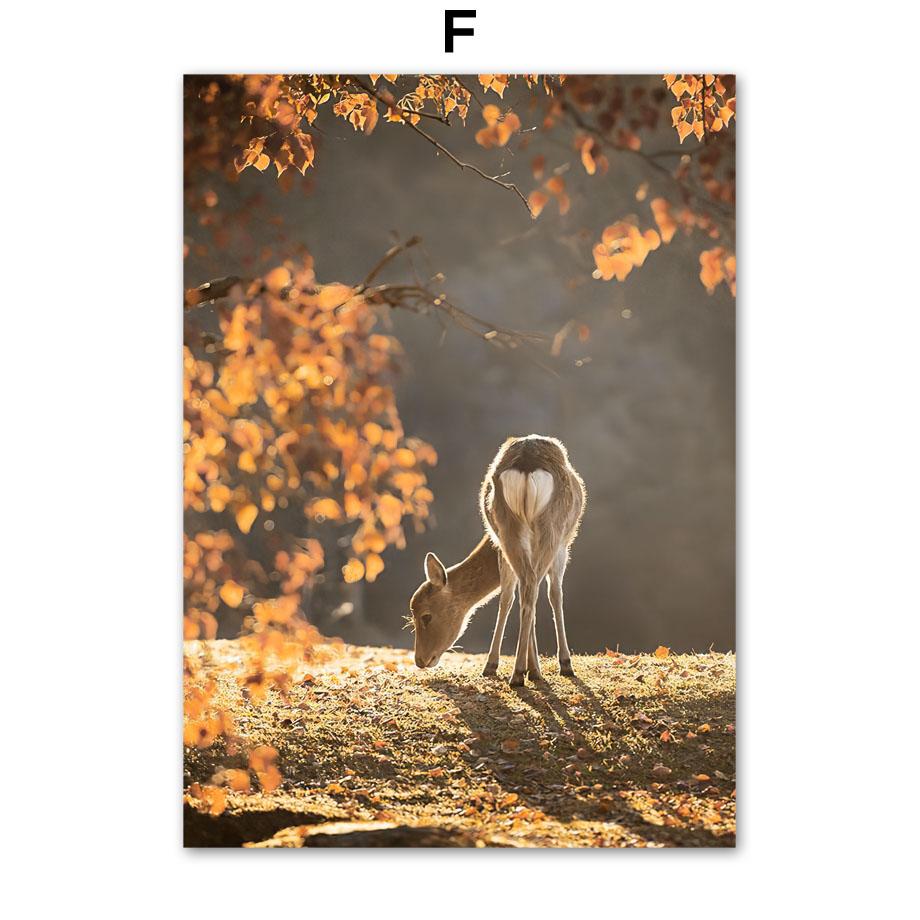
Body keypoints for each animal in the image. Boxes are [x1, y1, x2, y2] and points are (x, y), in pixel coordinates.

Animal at [409, 435, 586, 686]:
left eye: (426, 616)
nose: (420, 661)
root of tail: (526, 467)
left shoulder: (513, 545)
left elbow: (529, 596)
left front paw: (540, 667)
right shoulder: (560, 545)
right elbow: (547, 594)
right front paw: (556, 665)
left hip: (515, 530)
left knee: (527, 586)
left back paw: (518, 670)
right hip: (547, 528)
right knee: (529, 586)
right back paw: (518, 671)